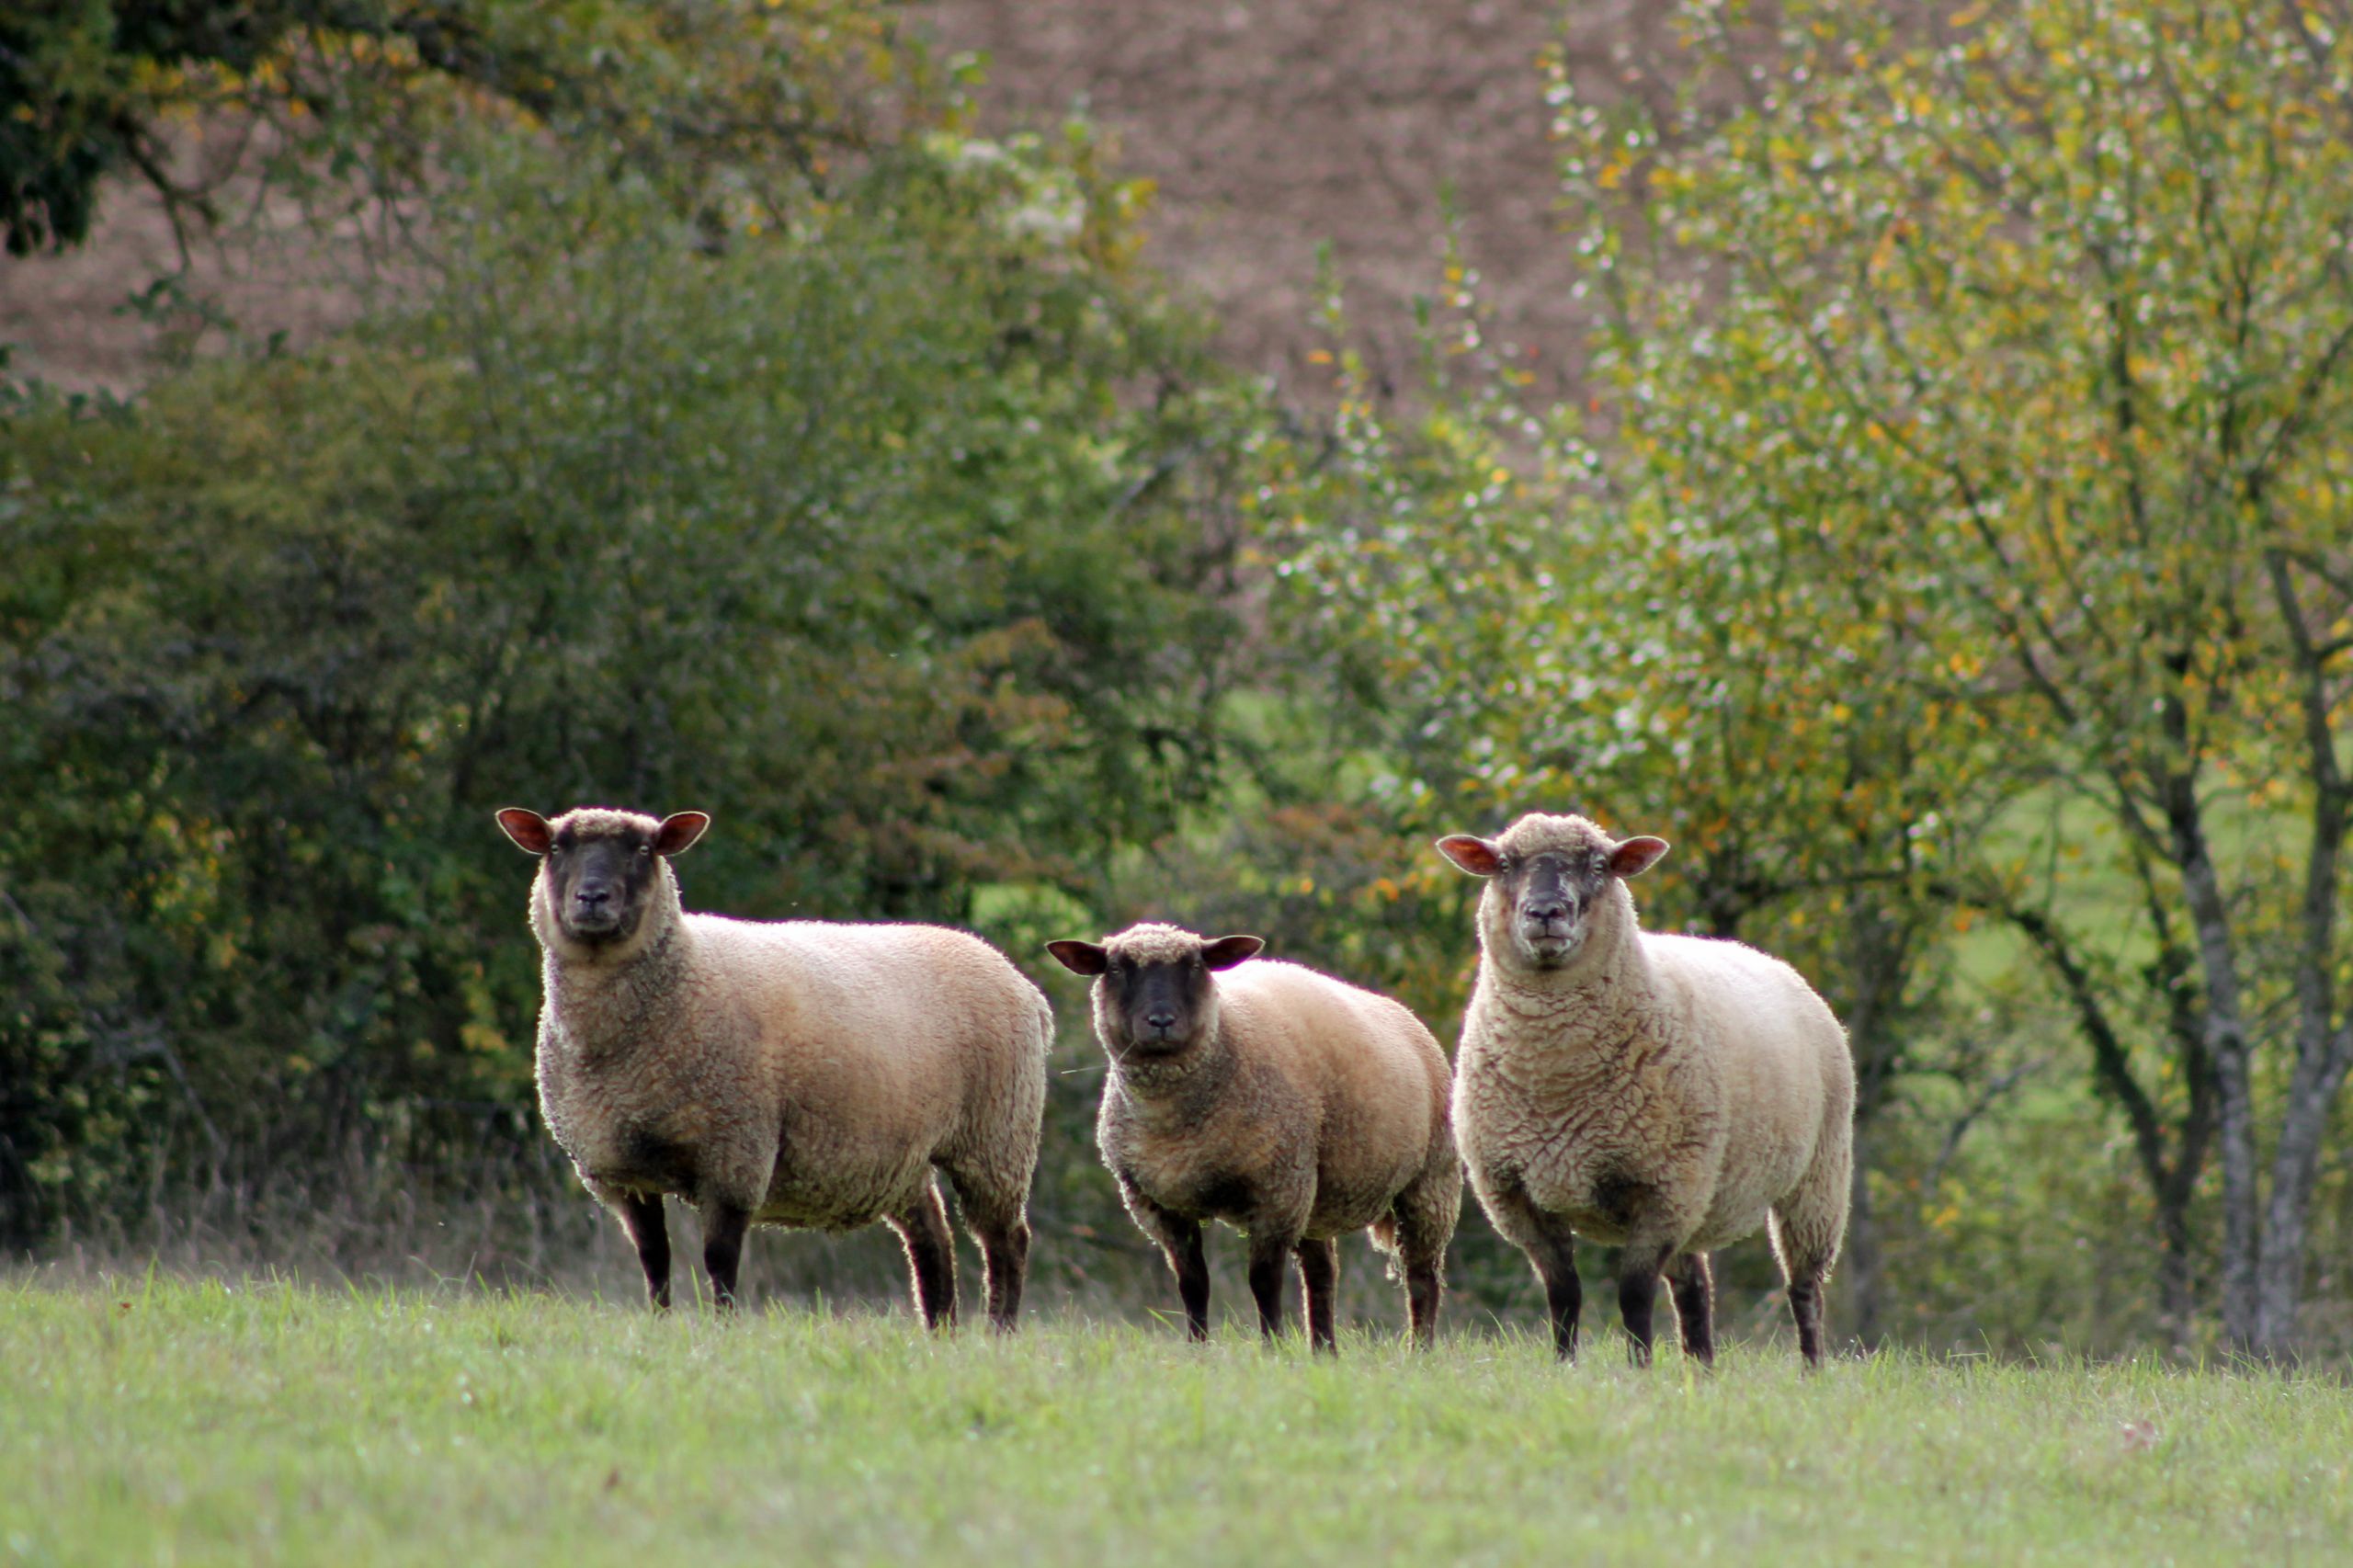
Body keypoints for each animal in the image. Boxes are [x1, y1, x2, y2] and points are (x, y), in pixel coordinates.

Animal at [494, 800, 1049, 1327]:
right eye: (556, 848)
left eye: (645, 850)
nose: (592, 898)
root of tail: (1019, 979)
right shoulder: (619, 1170)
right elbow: (654, 1261)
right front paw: (659, 1324)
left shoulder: (735, 1153)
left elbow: (719, 1261)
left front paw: (722, 1329)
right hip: (904, 1152)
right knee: (932, 1237)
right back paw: (940, 1331)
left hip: (997, 1137)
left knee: (1006, 1241)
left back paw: (998, 1331)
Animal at [1044, 918, 1449, 1346]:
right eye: (1116, 968)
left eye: (1195, 966)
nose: (1161, 1022)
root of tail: (1404, 1014)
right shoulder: (1157, 1205)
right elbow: (1193, 1284)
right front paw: (1198, 1348)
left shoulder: (1276, 1191)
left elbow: (1263, 1282)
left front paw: (1272, 1347)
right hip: (1314, 1191)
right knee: (1322, 1274)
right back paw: (1324, 1351)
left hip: (1429, 1183)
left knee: (1422, 1278)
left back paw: (1419, 1350)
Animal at [1430, 810, 1854, 1365]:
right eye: (1504, 864)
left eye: (1598, 865)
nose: (1545, 912)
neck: (1554, 1081)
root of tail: (1773, 963)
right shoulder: (1515, 1194)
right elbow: (1563, 1293)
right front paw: (1565, 1366)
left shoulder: (1661, 1189)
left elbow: (1633, 1294)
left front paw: (1638, 1369)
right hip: (1702, 1191)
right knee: (1695, 1291)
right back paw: (1702, 1370)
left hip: (1816, 1178)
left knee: (1805, 1290)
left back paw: (1811, 1370)